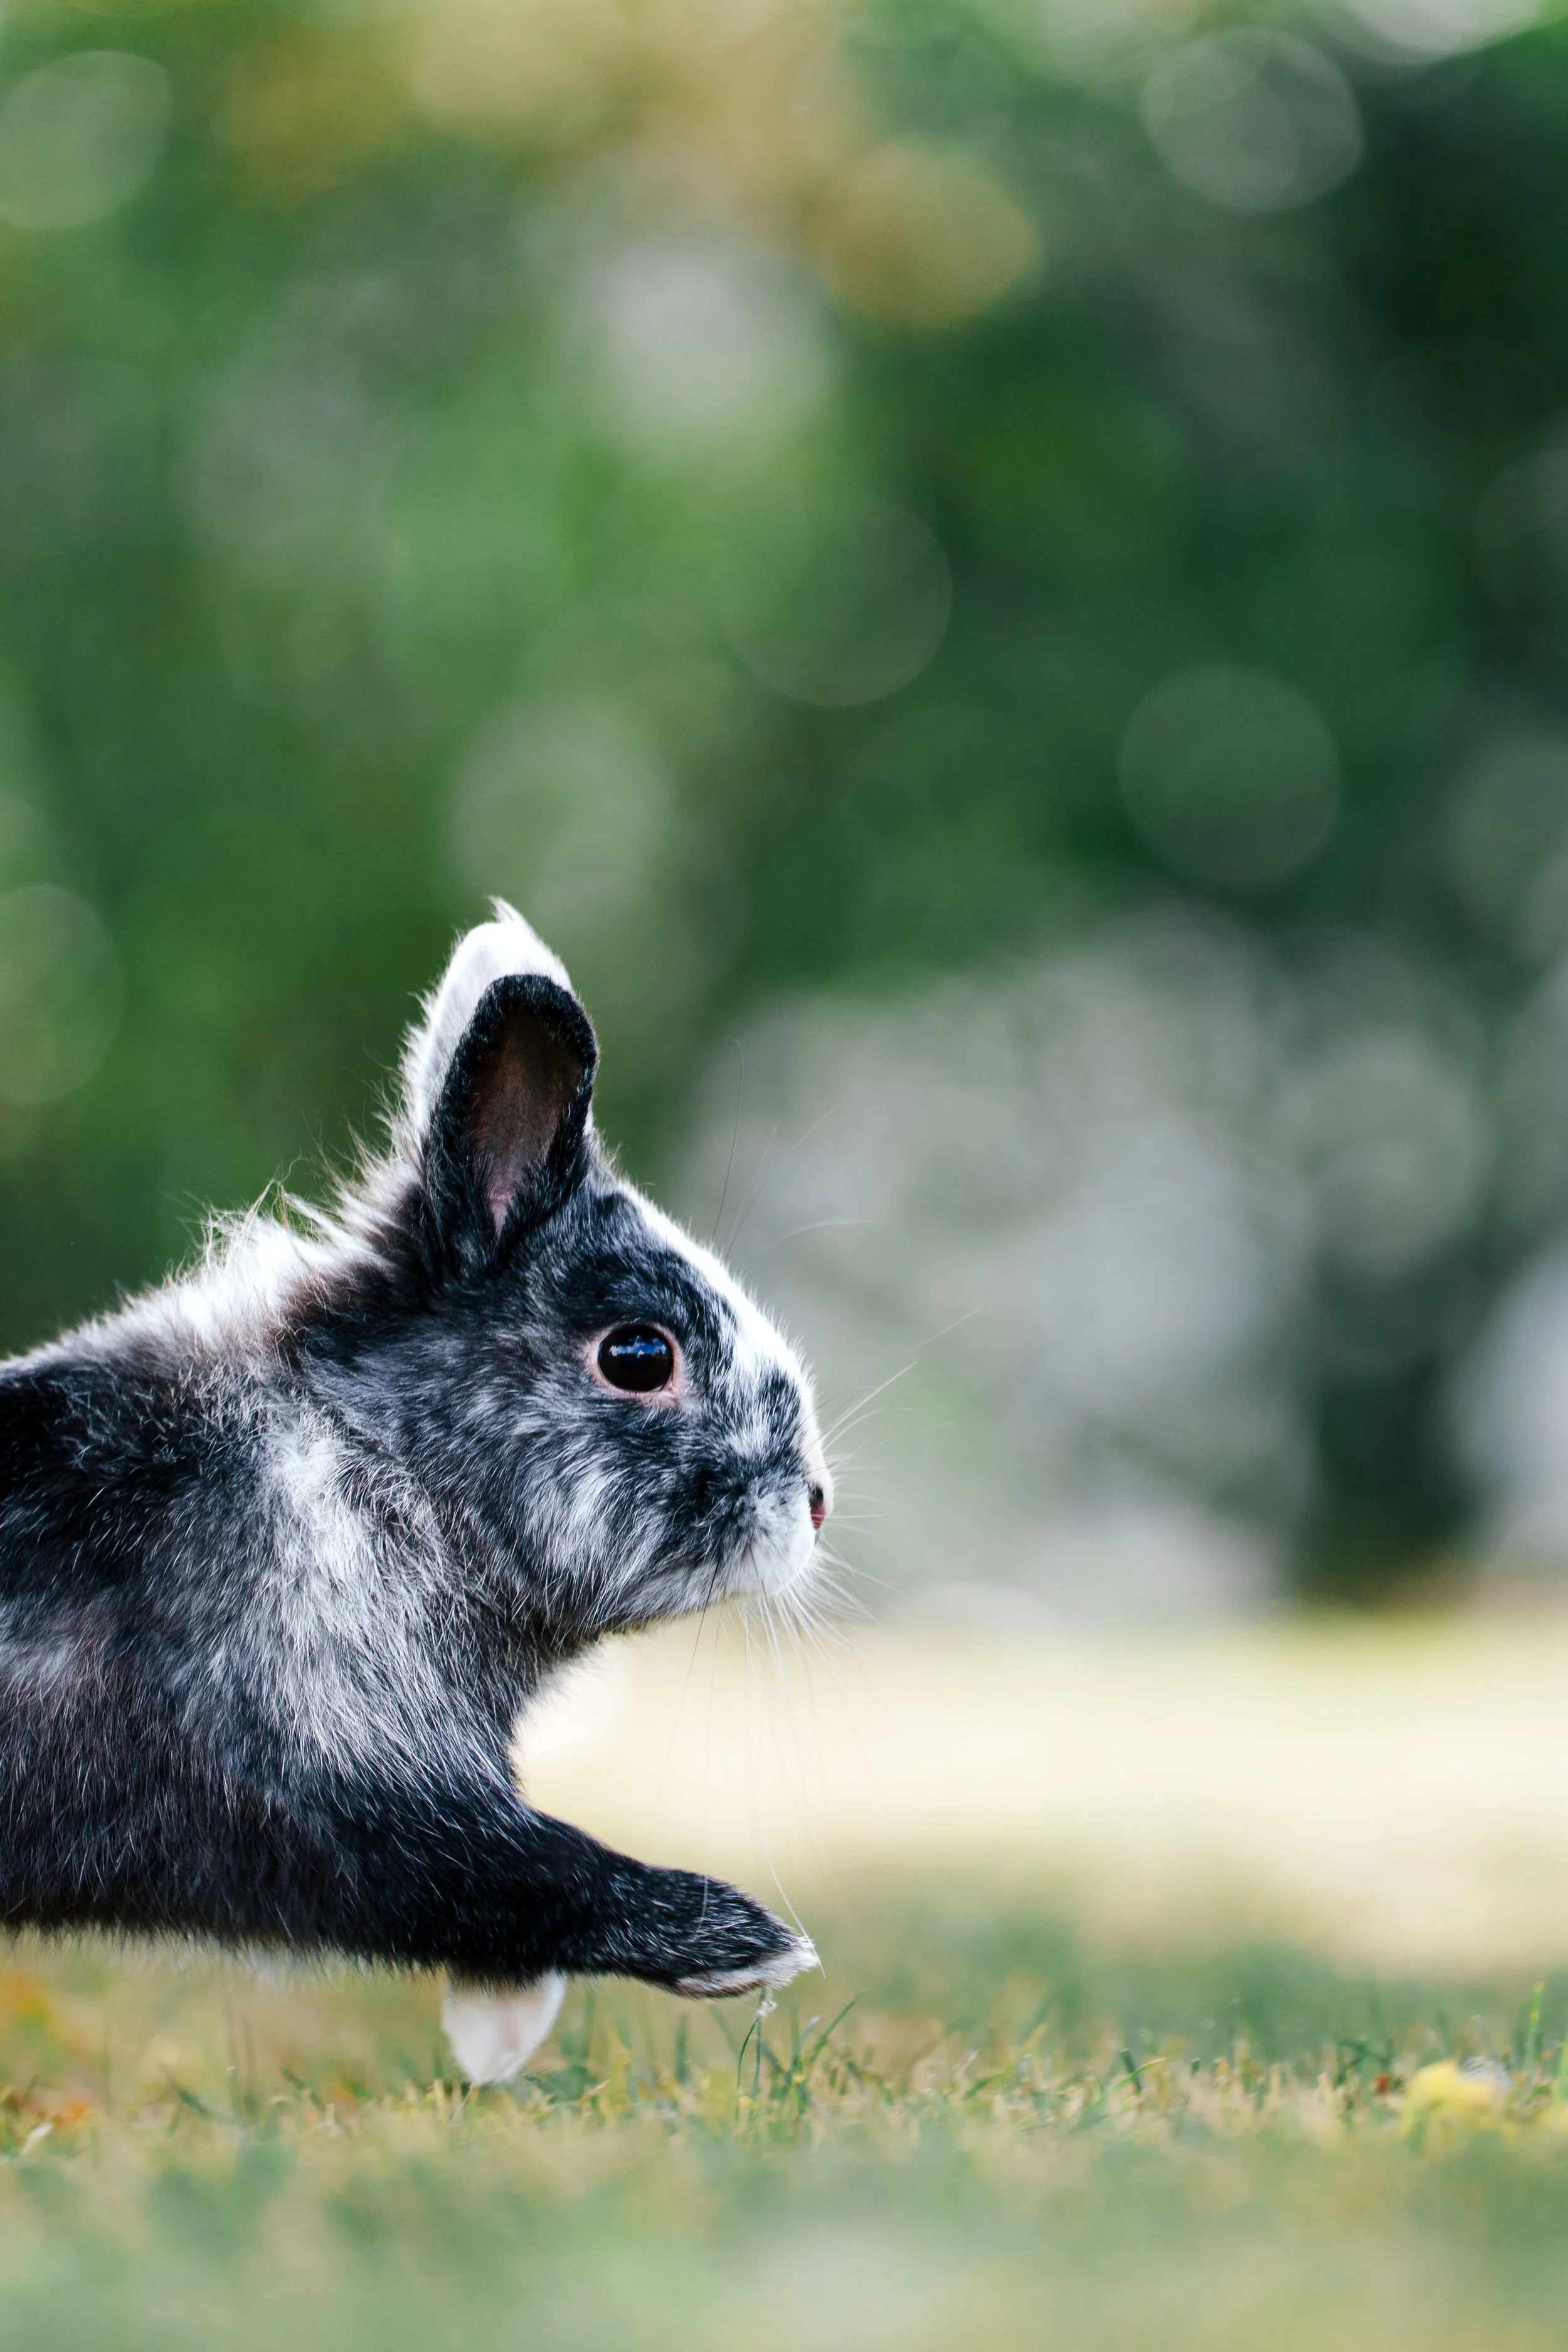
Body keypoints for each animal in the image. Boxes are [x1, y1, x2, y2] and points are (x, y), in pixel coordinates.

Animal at [0, 903, 831, 2080]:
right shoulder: (340, 1784)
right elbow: (515, 1873)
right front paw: (745, 1944)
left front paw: (497, 2041)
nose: (814, 1501)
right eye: (638, 1354)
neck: (375, 1458)